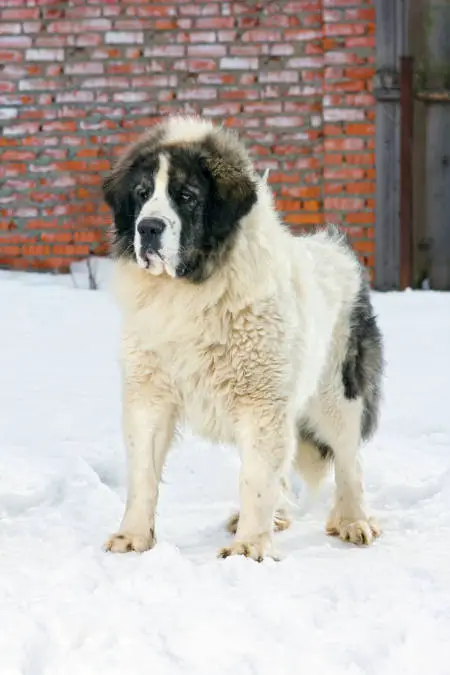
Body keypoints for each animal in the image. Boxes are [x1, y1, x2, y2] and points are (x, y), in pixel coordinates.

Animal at [102, 115, 384, 560]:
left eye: (186, 196)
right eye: (142, 194)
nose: (148, 227)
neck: (192, 292)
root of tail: (335, 250)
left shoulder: (261, 400)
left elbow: (255, 479)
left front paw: (249, 549)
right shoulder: (149, 394)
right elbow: (143, 474)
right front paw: (133, 537)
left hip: (337, 393)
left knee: (347, 457)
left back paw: (354, 520)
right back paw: (280, 517)